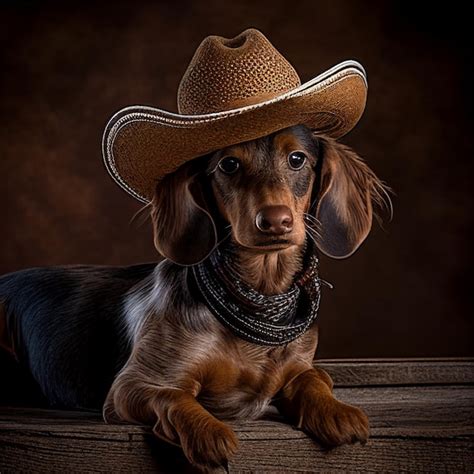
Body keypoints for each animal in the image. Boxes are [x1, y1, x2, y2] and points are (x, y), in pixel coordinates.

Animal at [0, 126, 388, 470]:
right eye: (229, 164)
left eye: (297, 159)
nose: (275, 221)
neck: (259, 295)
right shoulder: (132, 386)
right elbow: (173, 396)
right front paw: (209, 433)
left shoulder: (302, 366)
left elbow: (314, 380)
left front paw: (338, 412)